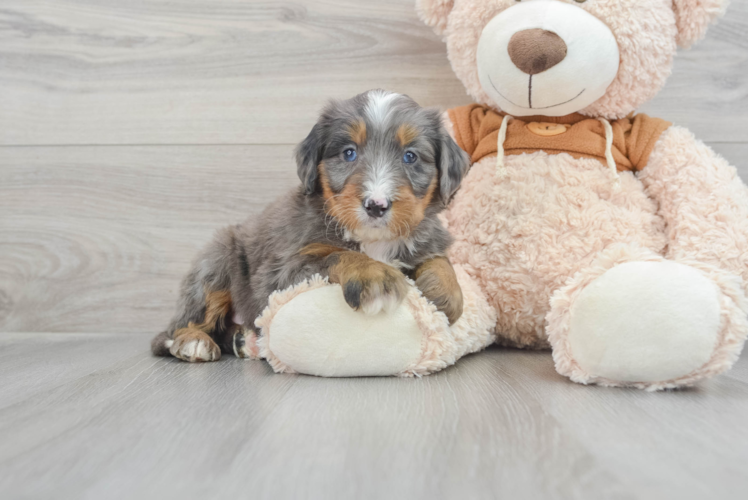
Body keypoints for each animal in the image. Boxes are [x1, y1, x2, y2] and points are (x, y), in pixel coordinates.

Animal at [151, 90, 468, 362]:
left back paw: (244, 340)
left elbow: (441, 263)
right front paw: (374, 274)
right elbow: (338, 254)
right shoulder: (281, 273)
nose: (376, 205)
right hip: (215, 263)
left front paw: (445, 294)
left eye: (410, 156)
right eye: (349, 153)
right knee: (181, 324)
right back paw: (194, 342)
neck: (373, 241)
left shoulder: (426, 240)